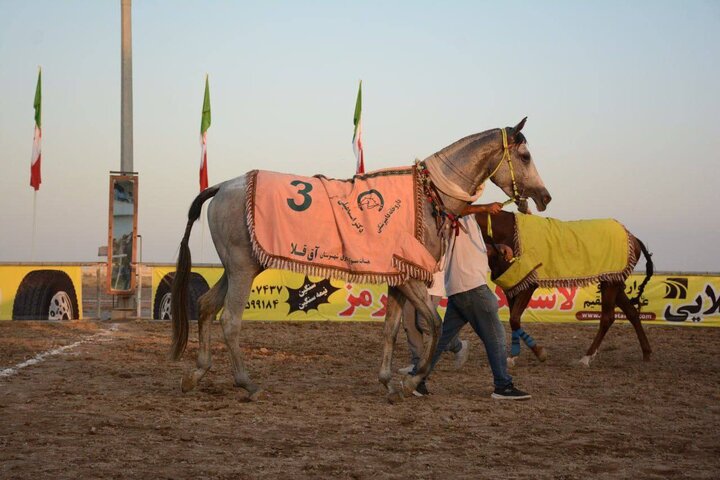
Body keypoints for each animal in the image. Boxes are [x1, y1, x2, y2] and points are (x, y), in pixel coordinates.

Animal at [476, 212, 656, 366]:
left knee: (608, 317)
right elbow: (514, 320)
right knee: (632, 312)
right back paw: (646, 353)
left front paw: (539, 353)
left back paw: (586, 357)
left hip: (610, 281)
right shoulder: (512, 286)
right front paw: (513, 357)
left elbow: (514, 319)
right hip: (615, 281)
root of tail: (632, 237)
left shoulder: (528, 283)